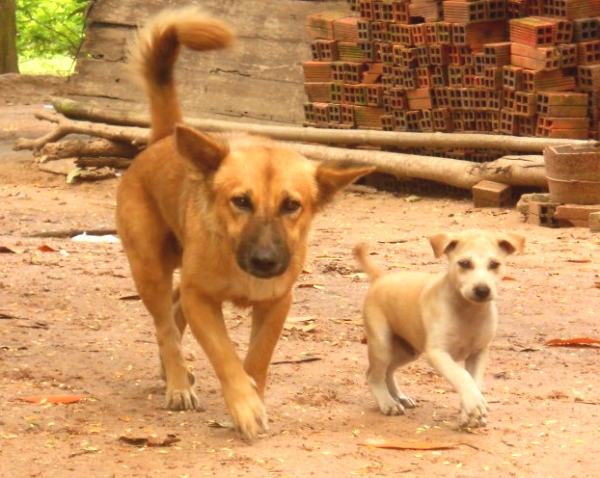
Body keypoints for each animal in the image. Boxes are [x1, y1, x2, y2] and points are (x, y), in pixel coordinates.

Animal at [115, 7, 372, 440]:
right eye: (240, 201)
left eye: (291, 205)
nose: (266, 262)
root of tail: (164, 139)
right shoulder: (203, 299)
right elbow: (225, 356)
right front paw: (244, 405)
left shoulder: (276, 304)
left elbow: (257, 358)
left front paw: (254, 393)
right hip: (149, 268)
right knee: (165, 325)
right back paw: (178, 383)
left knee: (173, 313)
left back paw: (173, 371)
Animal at [354, 230, 524, 428]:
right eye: (465, 264)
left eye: (494, 264)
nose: (482, 290)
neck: (468, 311)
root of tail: (381, 278)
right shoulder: (438, 353)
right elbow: (461, 375)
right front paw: (474, 404)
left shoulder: (479, 353)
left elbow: (475, 380)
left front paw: (469, 412)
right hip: (382, 344)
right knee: (374, 375)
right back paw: (388, 403)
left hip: (407, 350)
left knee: (387, 371)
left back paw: (399, 397)